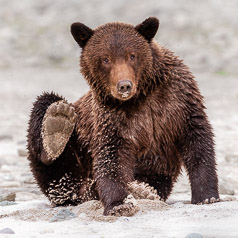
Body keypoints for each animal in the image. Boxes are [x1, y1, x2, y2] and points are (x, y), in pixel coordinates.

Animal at [26, 16, 219, 216]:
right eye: (105, 59)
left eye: (132, 55)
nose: (124, 85)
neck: (141, 96)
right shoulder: (112, 116)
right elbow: (112, 157)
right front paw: (120, 203)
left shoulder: (178, 99)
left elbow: (197, 140)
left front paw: (207, 196)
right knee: (47, 106)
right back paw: (56, 126)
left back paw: (143, 190)